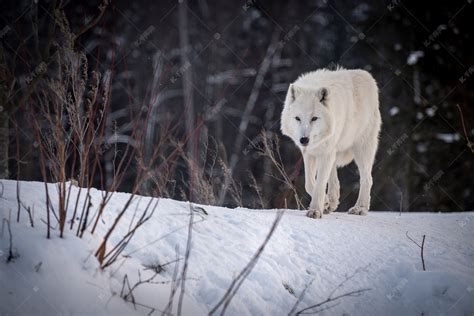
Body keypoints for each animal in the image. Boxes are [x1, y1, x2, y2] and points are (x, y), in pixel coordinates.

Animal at [282, 68, 382, 218]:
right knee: (334, 179)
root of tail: (367, 76)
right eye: (297, 118)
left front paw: (315, 210)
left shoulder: (325, 153)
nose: (304, 139)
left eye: (314, 118)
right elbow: (309, 184)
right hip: (333, 151)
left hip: (361, 149)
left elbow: (319, 184)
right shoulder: (310, 153)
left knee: (367, 179)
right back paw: (331, 203)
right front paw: (324, 203)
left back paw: (360, 208)